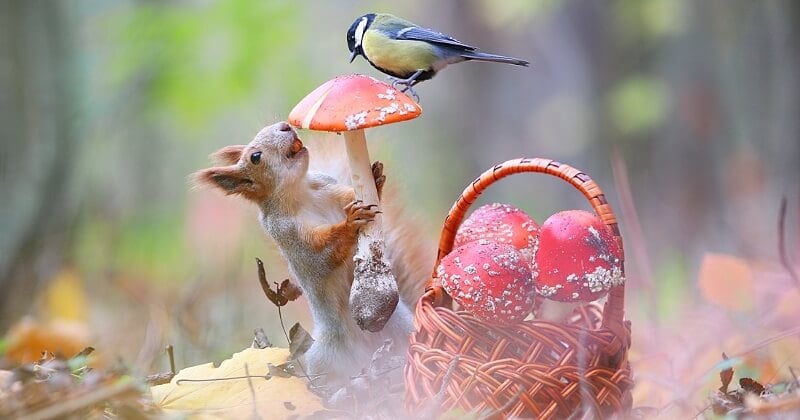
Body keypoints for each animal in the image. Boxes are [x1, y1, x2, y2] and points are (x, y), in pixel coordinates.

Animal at [192, 121, 432, 388]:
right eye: (255, 157)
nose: (285, 126)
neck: (301, 192)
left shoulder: (330, 187)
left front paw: (376, 178)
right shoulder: (290, 235)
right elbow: (321, 258)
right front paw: (349, 223)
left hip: (403, 329)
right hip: (323, 360)